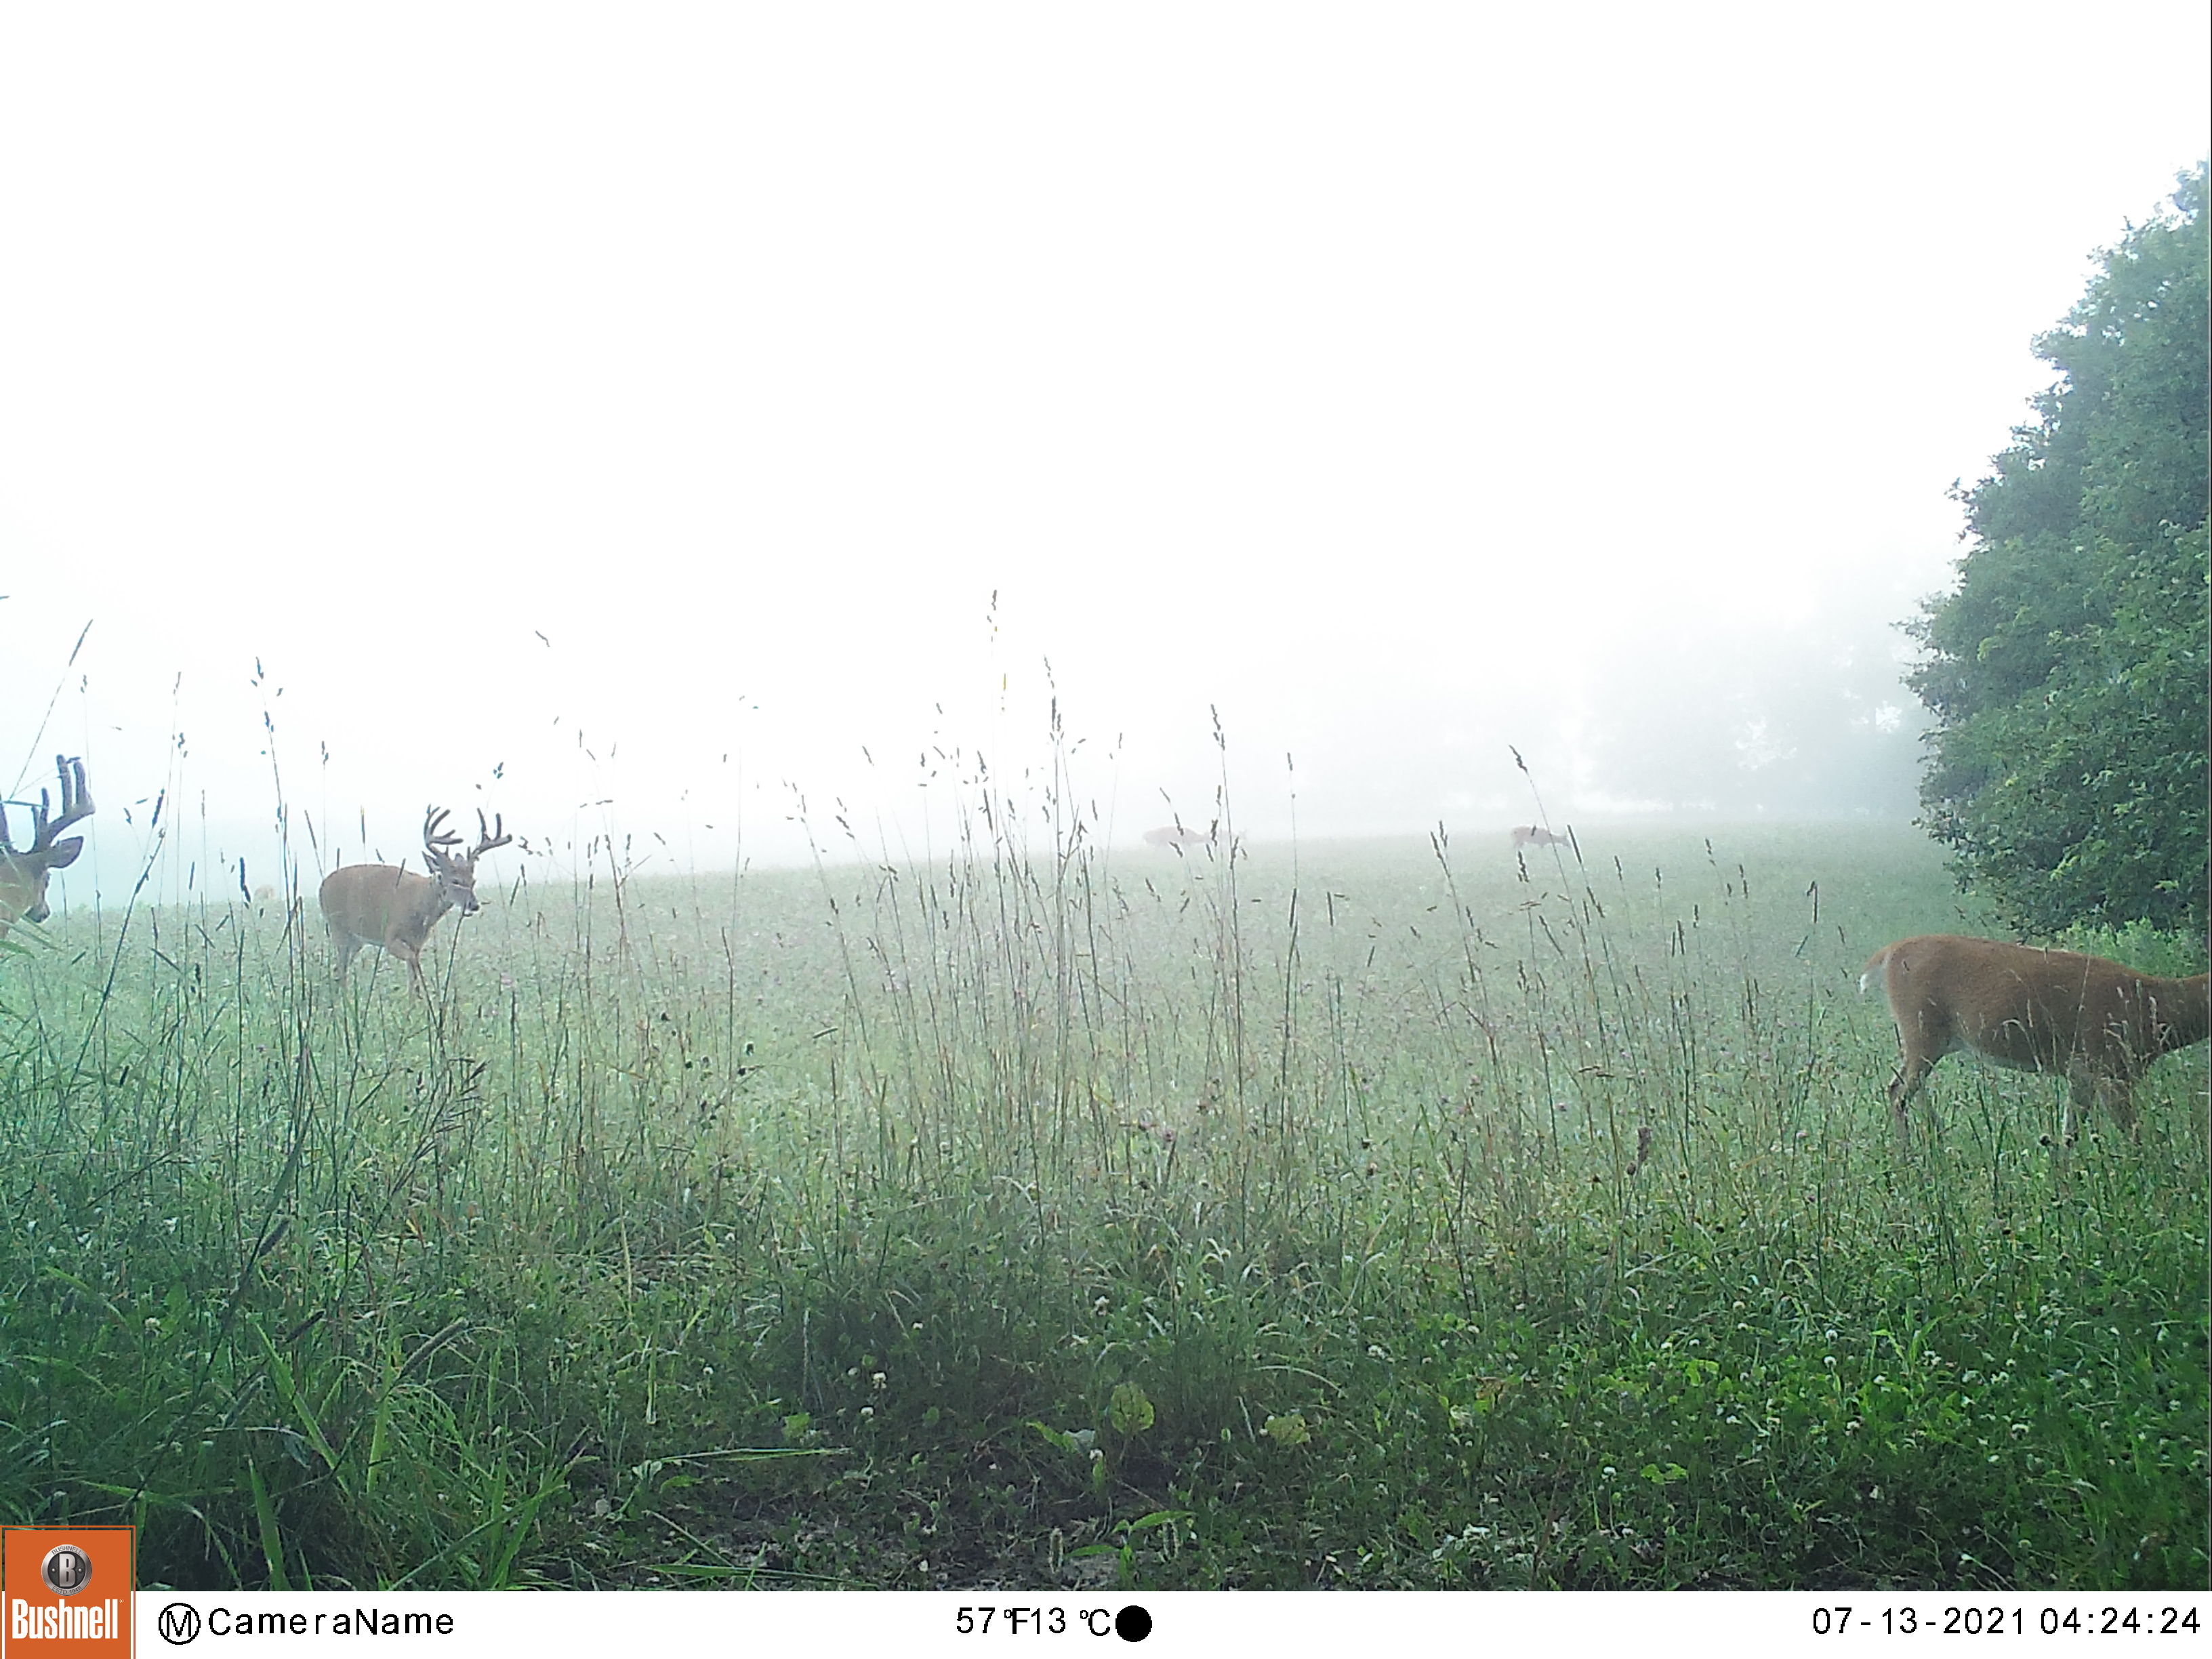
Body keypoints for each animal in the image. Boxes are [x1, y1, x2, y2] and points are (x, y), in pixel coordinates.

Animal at [319, 807, 512, 990]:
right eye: (456, 881)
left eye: (473, 881)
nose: (474, 905)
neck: (420, 903)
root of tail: (322, 887)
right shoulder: (390, 935)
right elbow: (413, 964)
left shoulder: (417, 943)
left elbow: (412, 977)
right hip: (338, 928)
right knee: (341, 969)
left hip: (356, 940)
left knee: (339, 969)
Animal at [1861, 934, 2210, 1143]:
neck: (2155, 1010)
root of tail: (1889, 953)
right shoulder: (2110, 1068)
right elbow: (2135, 1136)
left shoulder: (2081, 1074)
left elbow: (2069, 1136)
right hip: (1921, 1029)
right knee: (1897, 1092)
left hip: (1929, 1038)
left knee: (1907, 1089)